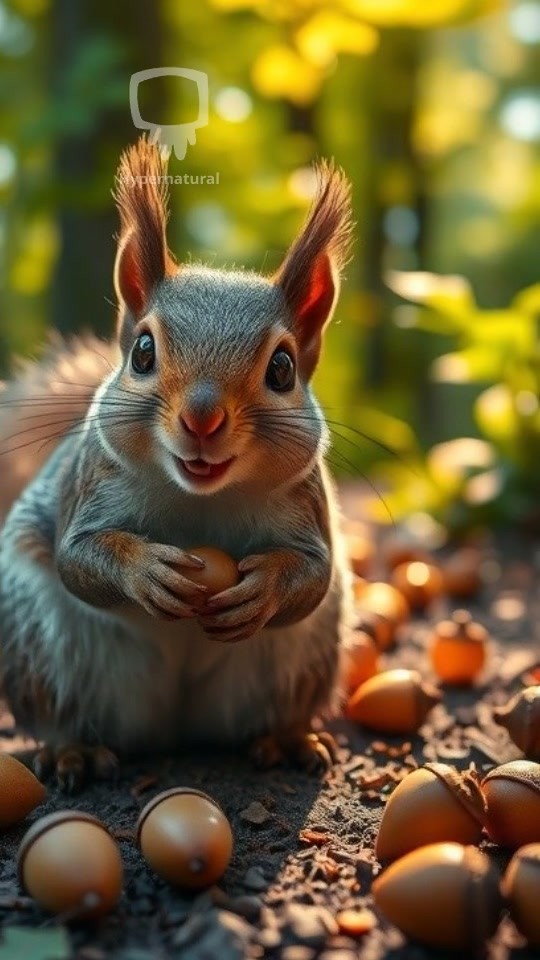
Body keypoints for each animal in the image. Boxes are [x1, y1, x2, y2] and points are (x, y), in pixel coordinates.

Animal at [0, 137, 355, 790]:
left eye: (283, 368)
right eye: (142, 351)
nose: (202, 419)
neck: (199, 496)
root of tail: (175, 728)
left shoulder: (305, 503)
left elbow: (312, 575)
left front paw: (266, 587)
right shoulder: (91, 484)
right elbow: (76, 558)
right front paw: (142, 570)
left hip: (302, 659)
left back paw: (286, 738)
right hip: (40, 645)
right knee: (63, 708)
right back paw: (73, 749)